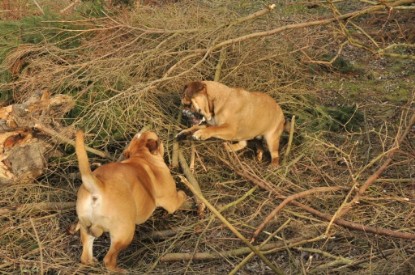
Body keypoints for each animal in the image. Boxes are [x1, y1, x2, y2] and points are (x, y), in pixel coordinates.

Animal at [73, 130, 187, 272]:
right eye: (158, 139)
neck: (142, 157)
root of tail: (99, 186)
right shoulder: (172, 201)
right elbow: (180, 196)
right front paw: (185, 193)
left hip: (85, 226)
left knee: (86, 256)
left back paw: (92, 261)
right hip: (125, 232)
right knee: (108, 259)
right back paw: (120, 270)